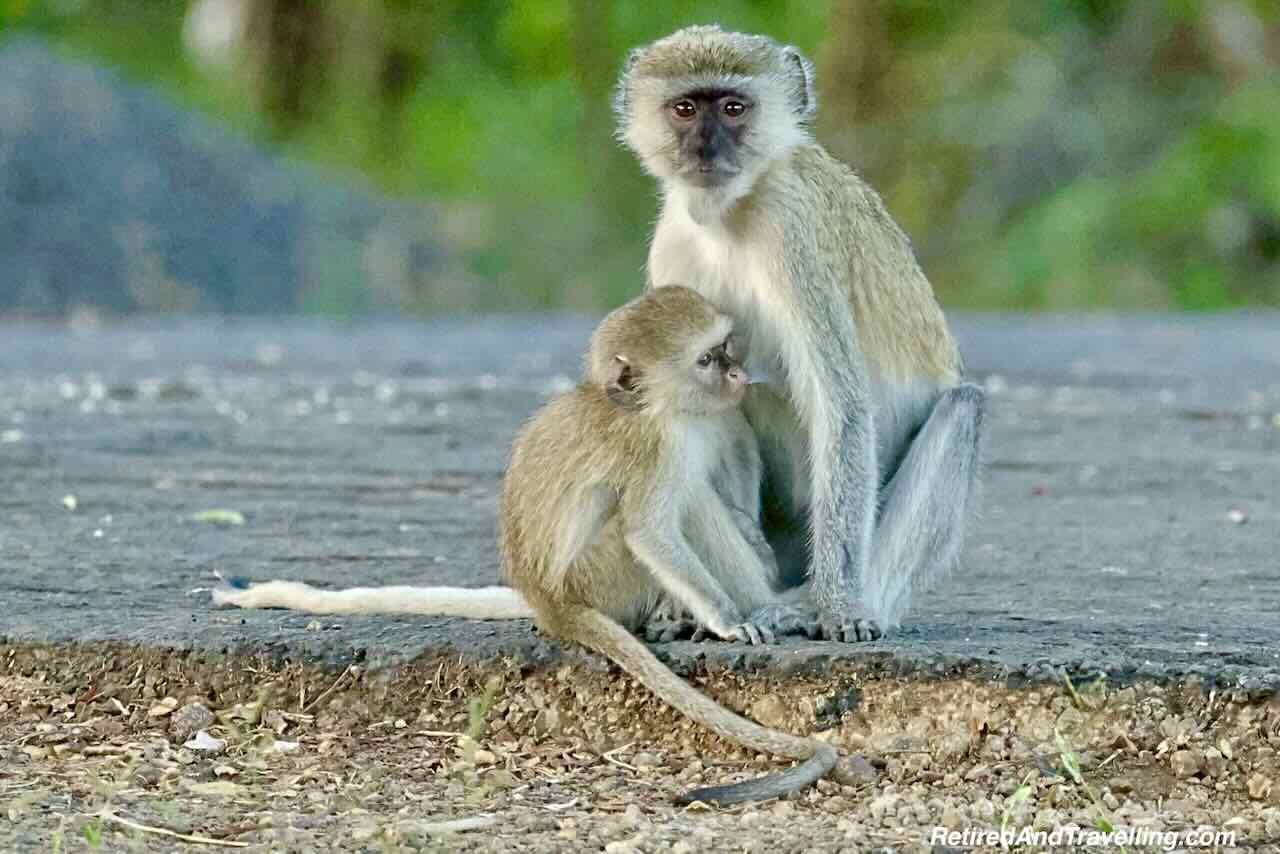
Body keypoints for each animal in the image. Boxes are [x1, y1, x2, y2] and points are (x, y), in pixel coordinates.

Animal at [216, 289, 844, 809]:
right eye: (708, 359)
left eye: (726, 348)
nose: (737, 372)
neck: (653, 410)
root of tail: (547, 600)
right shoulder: (652, 447)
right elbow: (650, 530)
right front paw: (729, 619)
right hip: (598, 574)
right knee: (680, 509)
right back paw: (767, 608)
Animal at [614, 25, 983, 640]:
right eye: (686, 108)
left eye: (734, 108)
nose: (706, 149)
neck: (730, 214)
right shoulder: (672, 245)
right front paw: (676, 605)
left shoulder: (793, 231)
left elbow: (842, 405)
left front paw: (838, 608)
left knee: (963, 407)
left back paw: (813, 602)